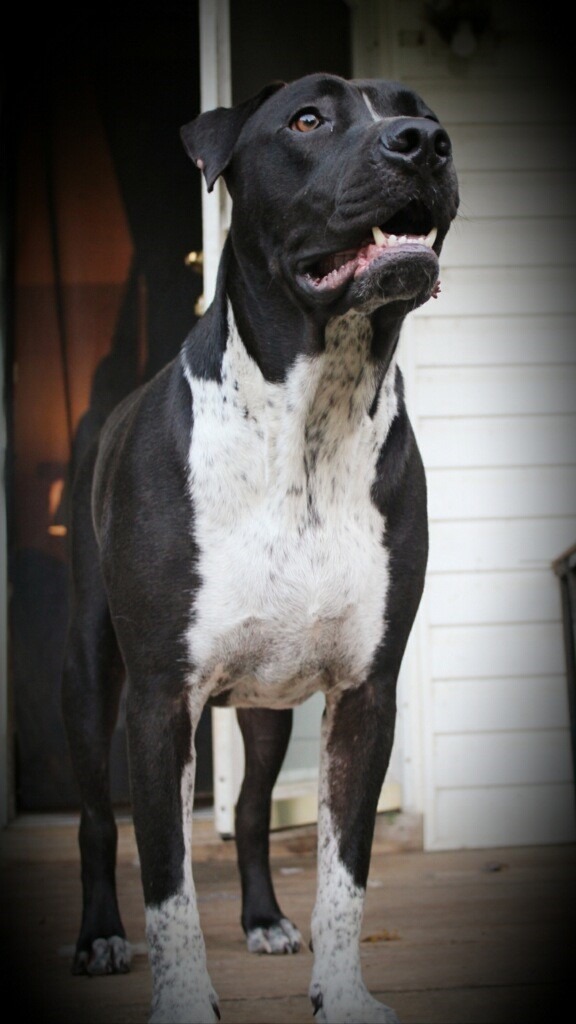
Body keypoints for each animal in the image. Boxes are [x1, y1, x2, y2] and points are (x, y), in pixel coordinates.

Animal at [61, 74, 457, 1024]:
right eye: (308, 119)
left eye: (416, 109)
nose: (422, 141)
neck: (314, 418)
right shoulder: (160, 699)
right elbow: (166, 884)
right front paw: (180, 1001)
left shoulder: (365, 693)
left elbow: (345, 872)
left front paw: (342, 994)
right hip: (91, 675)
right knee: (95, 821)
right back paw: (99, 937)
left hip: (269, 704)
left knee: (246, 811)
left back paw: (265, 920)